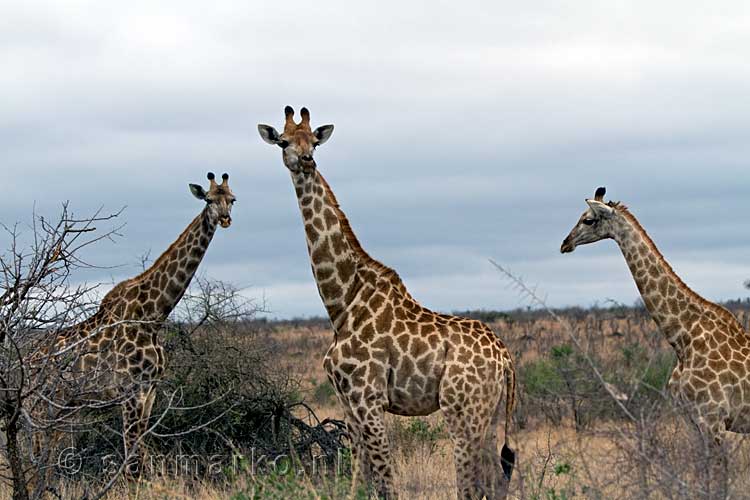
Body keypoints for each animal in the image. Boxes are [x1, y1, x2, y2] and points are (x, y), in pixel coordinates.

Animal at [46, 172, 235, 476]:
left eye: (232, 199)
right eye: (208, 199)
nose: (226, 218)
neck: (154, 316)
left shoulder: (150, 391)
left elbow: (140, 454)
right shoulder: (129, 392)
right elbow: (132, 460)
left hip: (65, 404)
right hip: (41, 402)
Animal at [260, 108, 516, 500]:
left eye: (314, 141)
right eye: (284, 141)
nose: (305, 160)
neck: (341, 301)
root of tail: (505, 358)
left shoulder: (370, 399)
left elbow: (386, 481)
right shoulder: (348, 403)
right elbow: (358, 479)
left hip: (462, 412)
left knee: (472, 485)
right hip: (490, 413)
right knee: (496, 481)